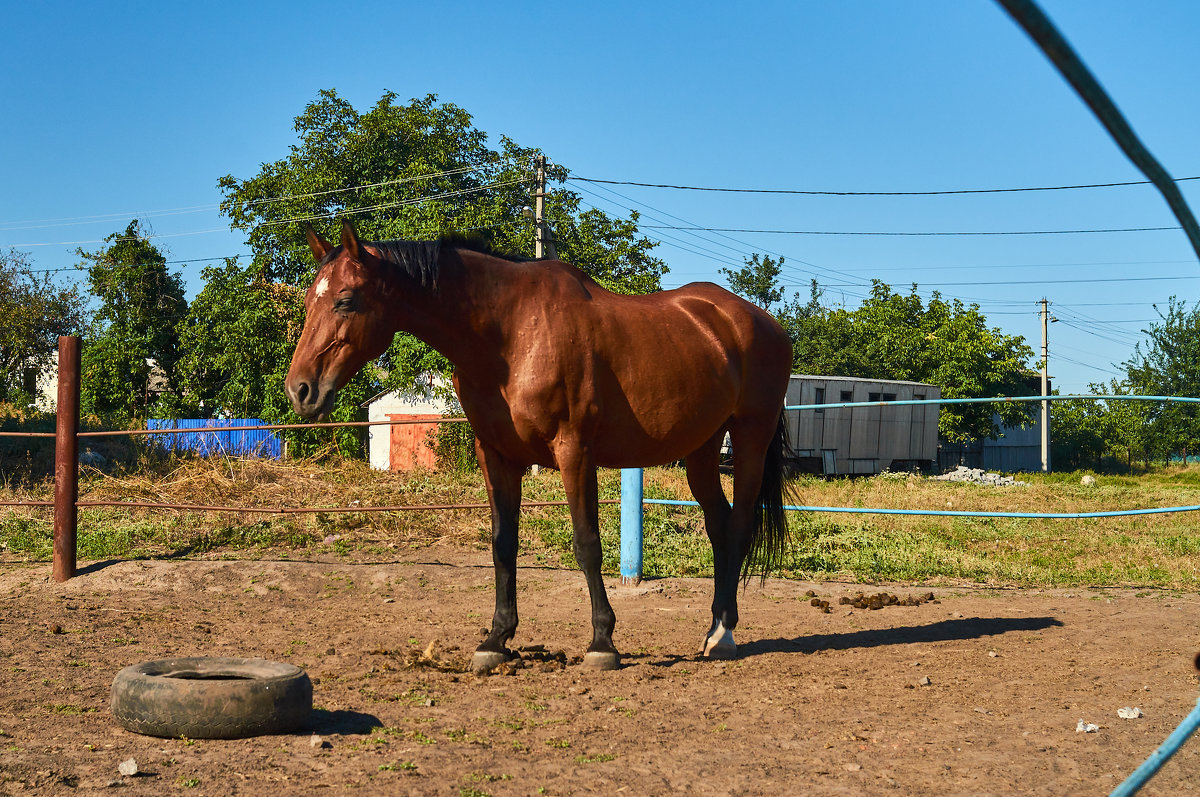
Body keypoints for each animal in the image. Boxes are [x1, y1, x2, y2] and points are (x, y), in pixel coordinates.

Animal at [284, 220, 792, 667]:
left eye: (346, 300)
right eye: (309, 300)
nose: (300, 390)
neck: (511, 334)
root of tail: (756, 320)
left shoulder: (575, 453)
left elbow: (587, 544)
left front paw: (602, 642)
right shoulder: (497, 456)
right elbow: (503, 544)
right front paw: (496, 639)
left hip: (749, 437)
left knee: (739, 526)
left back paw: (724, 635)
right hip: (703, 448)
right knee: (719, 527)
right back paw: (713, 630)